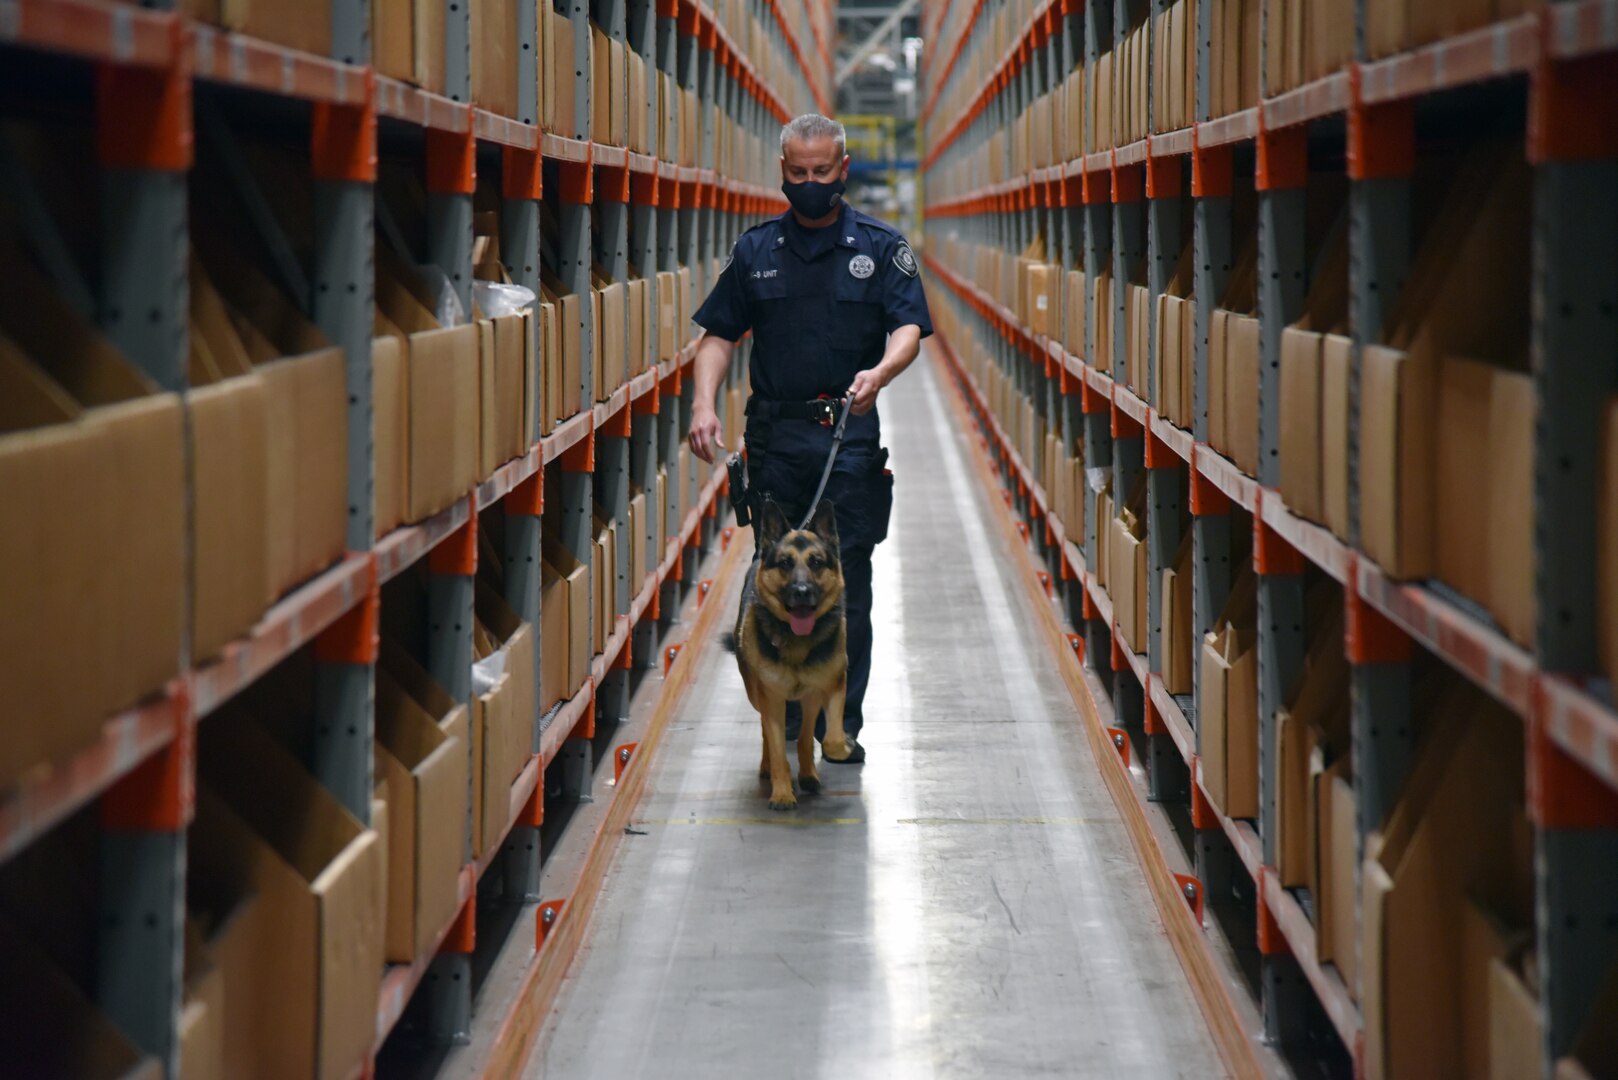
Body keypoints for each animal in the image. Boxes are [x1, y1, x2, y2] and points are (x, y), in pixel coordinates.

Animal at [721, 498, 847, 809]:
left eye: (816, 562)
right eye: (785, 563)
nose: (801, 591)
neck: (797, 640)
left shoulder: (831, 685)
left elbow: (826, 737)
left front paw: (836, 751)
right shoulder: (772, 698)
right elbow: (778, 748)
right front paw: (782, 792)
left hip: (810, 698)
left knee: (804, 733)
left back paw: (809, 773)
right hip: (757, 695)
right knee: (766, 731)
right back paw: (770, 769)